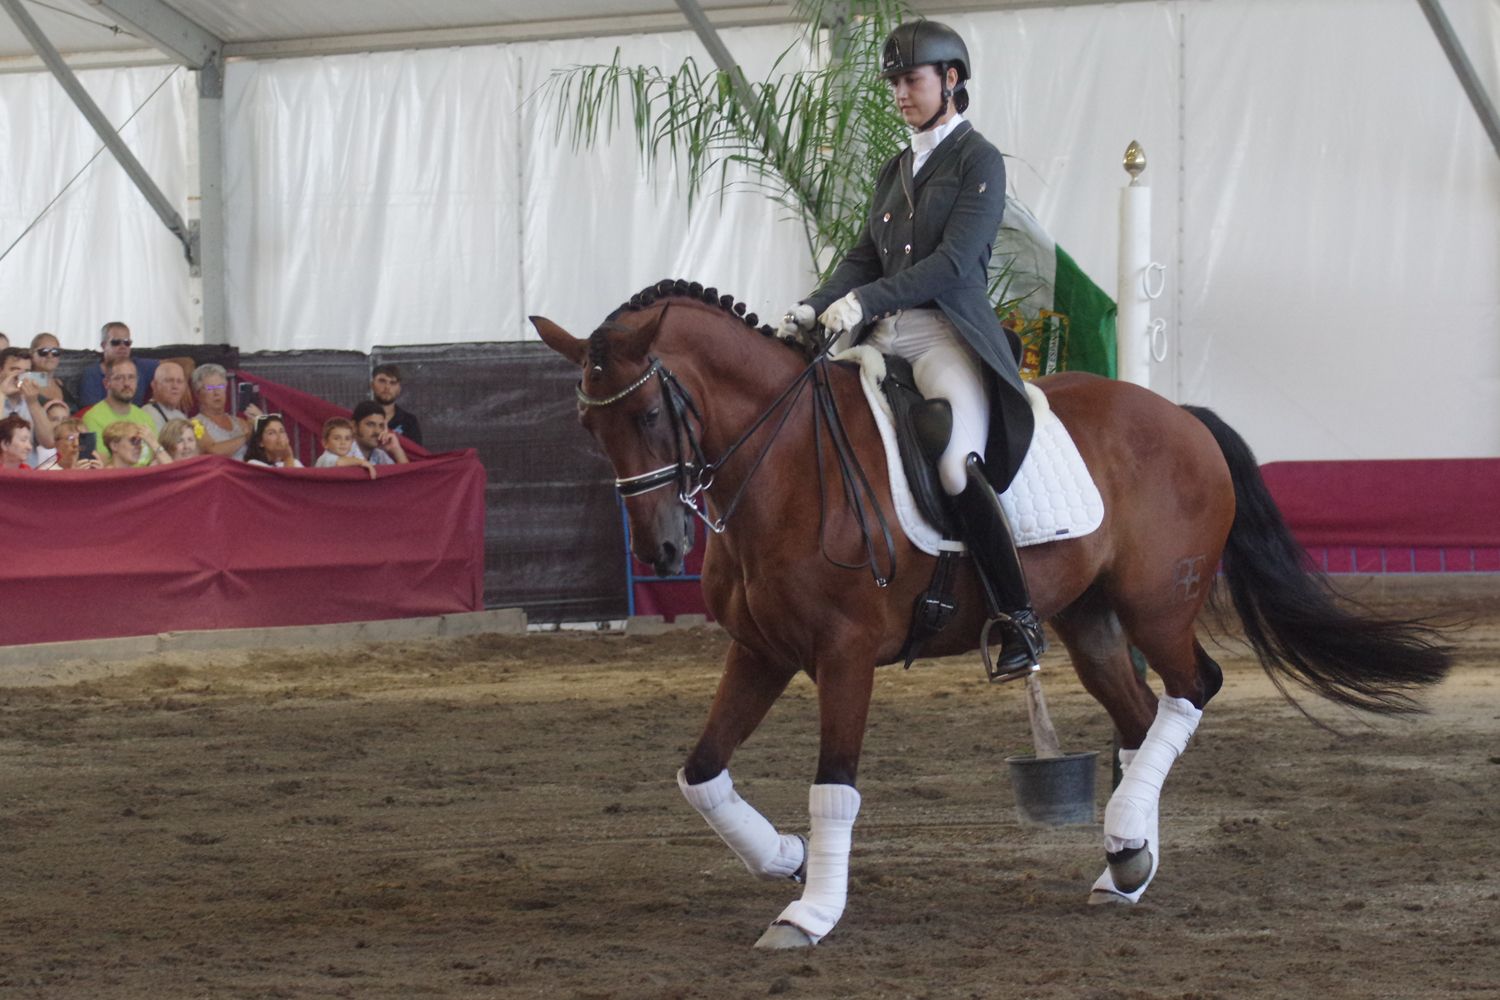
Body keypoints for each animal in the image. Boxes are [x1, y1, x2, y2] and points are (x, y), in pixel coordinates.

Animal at [531, 280, 1452, 947]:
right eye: (587, 424)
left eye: (651, 413)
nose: (660, 551)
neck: (787, 462)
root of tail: (1181, 417)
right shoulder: (762, 651)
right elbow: (701, 774)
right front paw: (786, 858)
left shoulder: (843, 655)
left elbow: (834, 786)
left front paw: (809, 915)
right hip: (1089, 621)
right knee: (1141, 717)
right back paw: (1126, 862)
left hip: (1157, 605)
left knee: (1193, 690)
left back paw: (1127, 843)